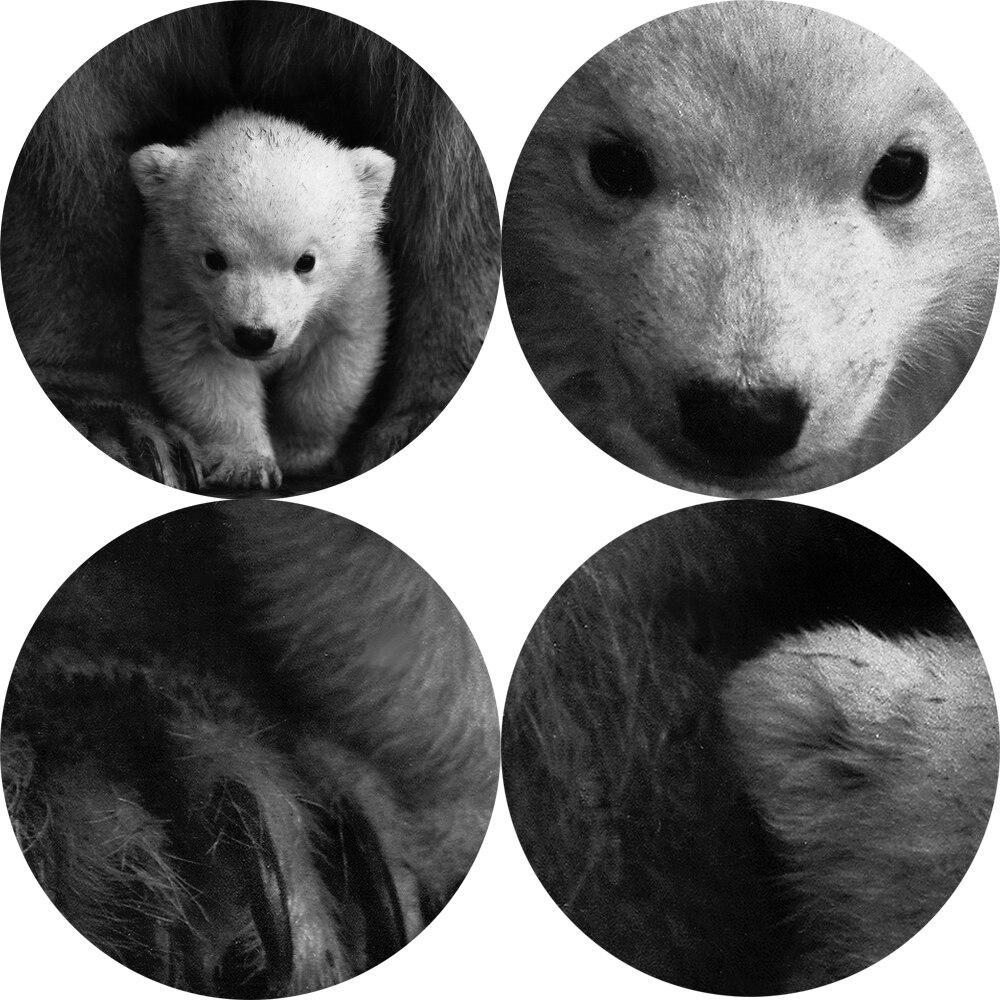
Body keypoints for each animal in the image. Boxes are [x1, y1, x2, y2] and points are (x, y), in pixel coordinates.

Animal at [130, 110, 394, 490]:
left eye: (306, 261)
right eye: (214, 258)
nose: (255, 336)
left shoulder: (352, 292)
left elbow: (334, 366)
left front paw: (297, 453)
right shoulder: (176, 293)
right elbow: (204, 368)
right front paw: (248, 466)